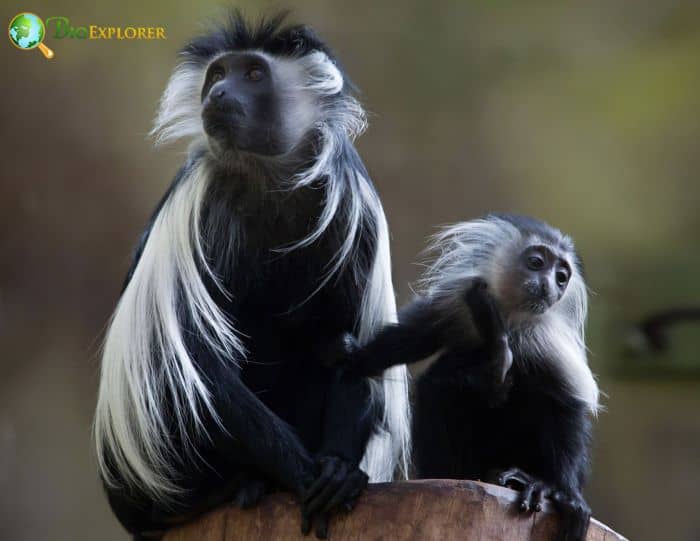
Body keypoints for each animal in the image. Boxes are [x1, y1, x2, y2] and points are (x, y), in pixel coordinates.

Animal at [93, 12, 410, 540]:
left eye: (255, 74)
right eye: (218, 74)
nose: (218, 93)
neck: (269, 174)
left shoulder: (354, 203)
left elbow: (359, 345)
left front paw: (337, 472)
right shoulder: (199, 203)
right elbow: (197, 359)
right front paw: (302, 473)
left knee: (331, 343)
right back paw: (235, 487)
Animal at [336, 214, 600, 540]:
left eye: (562, 276)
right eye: (537, 262)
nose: (551, 285)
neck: (507, 319)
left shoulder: (544, 339)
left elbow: (567, 404)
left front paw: (562, 493)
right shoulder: (458, 303)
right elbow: (412, 339)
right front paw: (354, 357)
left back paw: (527, 481)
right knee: (438, 387)